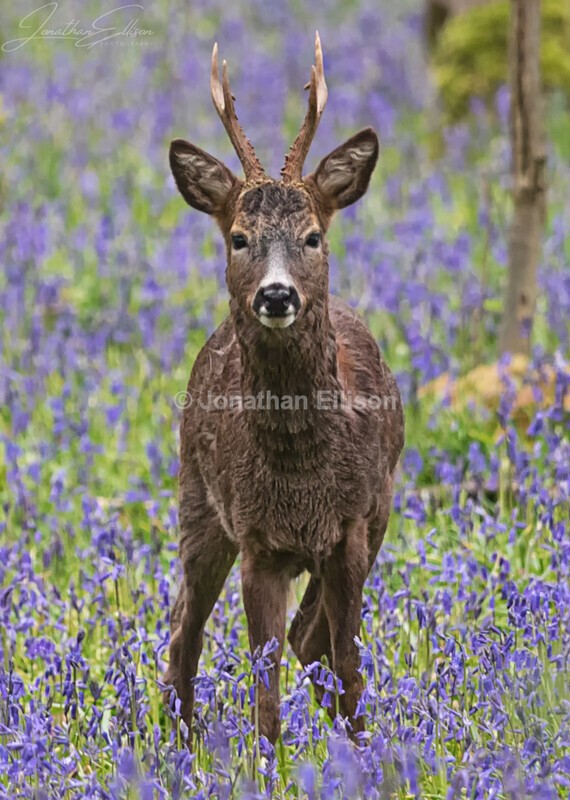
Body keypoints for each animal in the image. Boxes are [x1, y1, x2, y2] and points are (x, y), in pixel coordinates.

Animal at [164, 33, 404, 745]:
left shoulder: (352, 526)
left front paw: (367, 752)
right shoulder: (256, 538)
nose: (276, 295)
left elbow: (348, 660)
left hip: (377, 516)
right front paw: (267, 759)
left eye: (313, 236)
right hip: (196, 502)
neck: (299, 474)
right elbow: (264, 685)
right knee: (184, 630)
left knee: (310, 639)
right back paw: (179, 743)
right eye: (239, 237)